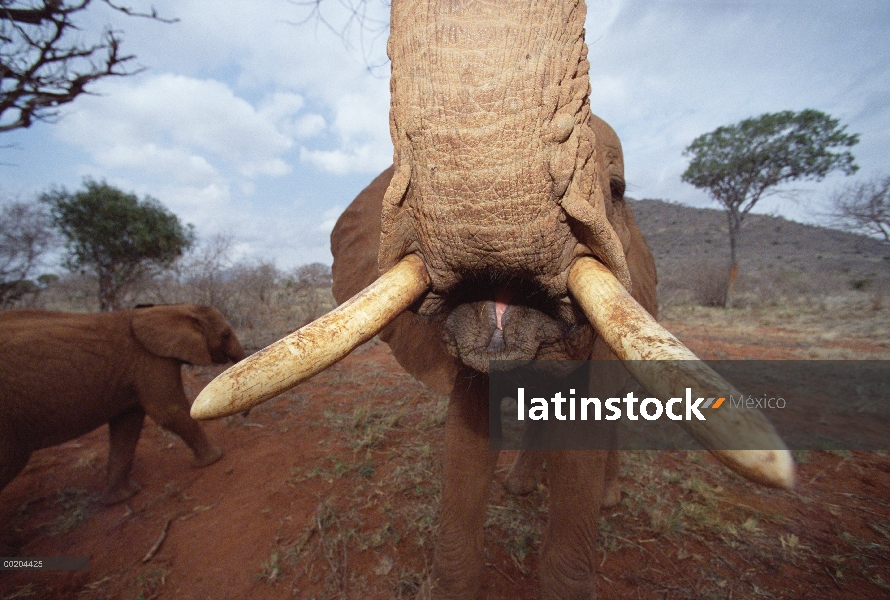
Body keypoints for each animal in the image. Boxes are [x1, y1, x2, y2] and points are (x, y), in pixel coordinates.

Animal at [0, 304, 245, 506]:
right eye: (225, 334)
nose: (243, 416)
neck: (170, 308)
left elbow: (126, 427)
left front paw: (121, 498)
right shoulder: (150, 360)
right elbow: (168, 411)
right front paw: (215, 458)